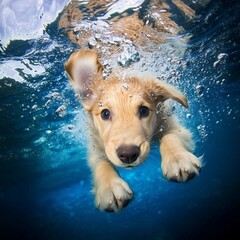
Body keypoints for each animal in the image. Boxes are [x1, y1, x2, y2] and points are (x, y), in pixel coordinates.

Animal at [64, 48, 201, 212]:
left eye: (144, 111)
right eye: (105, 113)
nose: (128, 154)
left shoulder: (174, 126)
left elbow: (169, 137)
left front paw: (178, 159)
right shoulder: (95, 146)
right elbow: (101, 164)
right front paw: (109, 187)